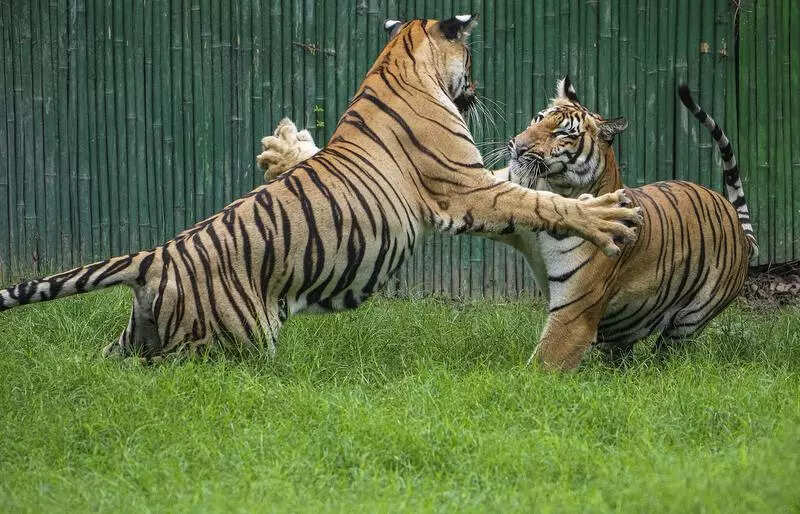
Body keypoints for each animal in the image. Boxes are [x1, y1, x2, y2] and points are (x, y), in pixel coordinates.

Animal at [0, 17, 641, 361]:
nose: (479, 92)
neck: (396, 61)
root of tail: (157, 255)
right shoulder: (466, 188)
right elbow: (539, 199)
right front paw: (607, 216)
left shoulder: (478, 180)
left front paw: (281, 147)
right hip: (228, 344)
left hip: (137, 339)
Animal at [258, 76, 756, 371]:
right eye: (539, 117)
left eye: (563, 133)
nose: (518, 145)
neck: (559, 190)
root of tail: (737, 223)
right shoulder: (502, 201)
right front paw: (283, 151)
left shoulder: (574, 314)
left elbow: (542, 366)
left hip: (689, 319)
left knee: (668, 349)